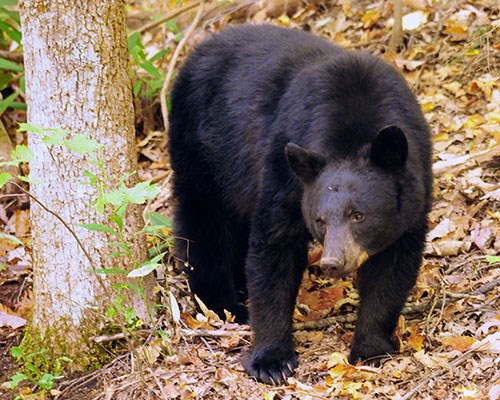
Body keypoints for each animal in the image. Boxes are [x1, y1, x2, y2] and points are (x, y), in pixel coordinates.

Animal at [167, 24, 430, 384]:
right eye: (320, 220)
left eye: (359, 215)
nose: (332, 262)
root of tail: (197, 50)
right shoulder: (284, 170)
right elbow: (274, 247)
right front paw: (272, 360)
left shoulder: (414, 186)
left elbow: (394, 264)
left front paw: (370, 347)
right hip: (203, 147)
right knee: (204, 222)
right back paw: (223, 303)